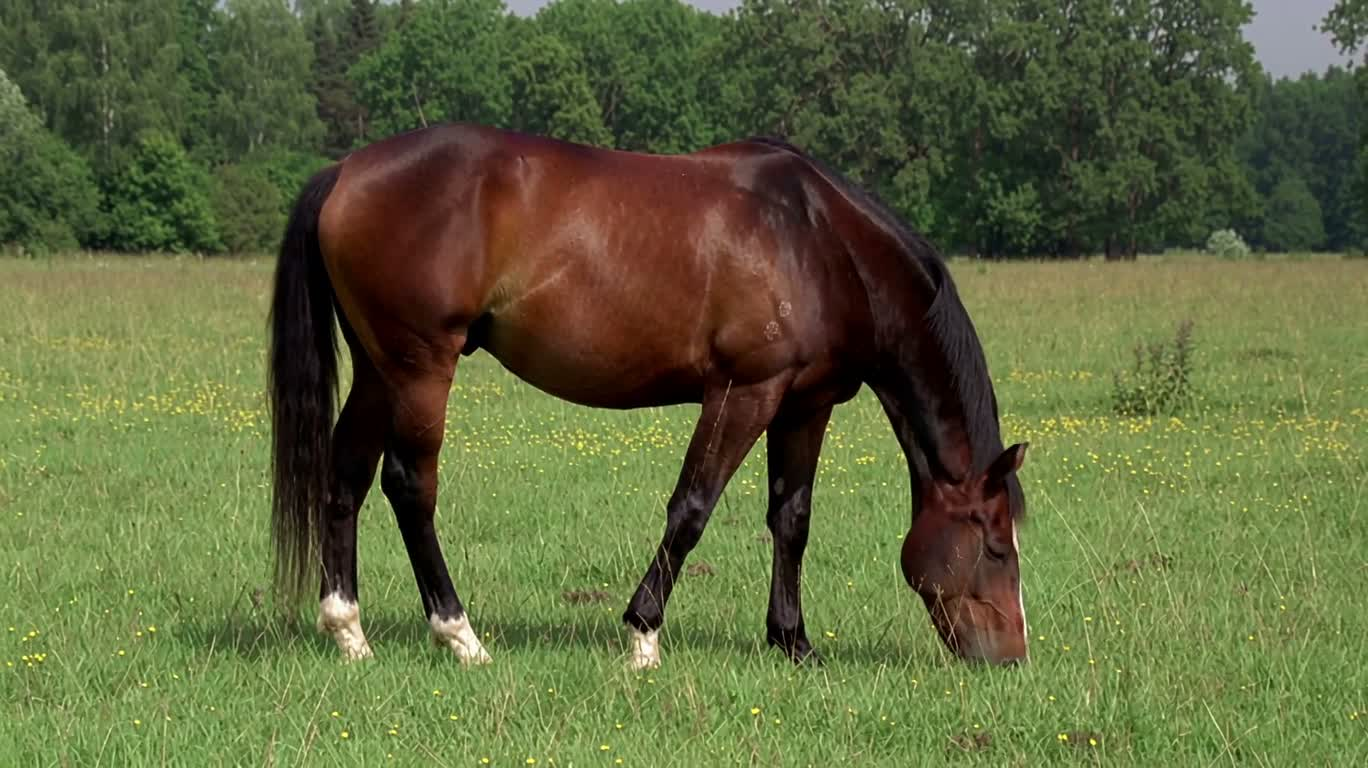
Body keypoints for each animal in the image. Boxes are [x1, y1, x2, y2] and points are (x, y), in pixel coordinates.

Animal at [267, 122, 1030, 670]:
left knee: (346, 479)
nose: (1011, 658)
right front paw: (642, 635)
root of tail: (345, 172)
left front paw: (793, 642)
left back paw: (349, 632)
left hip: (379, 371)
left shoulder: (804, 405)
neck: (817, 240)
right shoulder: (743, 392)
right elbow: (691, 510)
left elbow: (792, 520)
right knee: (409, 486)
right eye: (996, 547)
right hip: (421, 367)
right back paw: (460, 636)